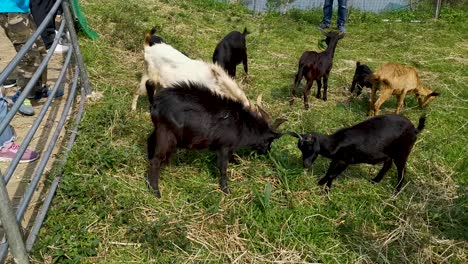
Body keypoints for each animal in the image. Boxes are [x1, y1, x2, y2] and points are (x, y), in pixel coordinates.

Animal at [146, 80, 288, 198]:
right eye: (269, 141)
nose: (267, 152)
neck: (243, 124)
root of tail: (155, 102)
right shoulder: (223, 146)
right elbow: (223, 168)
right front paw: (225, 190)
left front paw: (237, 162)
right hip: (167, 135)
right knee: (156, 160)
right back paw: (156, 192)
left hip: (158, 130)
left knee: (150, 143)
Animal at [288, 114, 426, 194]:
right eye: (300, 148)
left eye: (309, 147)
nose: (305, 165)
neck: (336, 142)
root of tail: (415, 129)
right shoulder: (337, 159)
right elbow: (329, 171)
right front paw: (321, 183)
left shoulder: (345, 160)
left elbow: (333, 174)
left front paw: (326, 191)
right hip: (389, 153)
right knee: (387, 164)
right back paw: (375, 181)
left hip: (403, 152)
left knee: (402, 170)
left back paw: (396, 191)